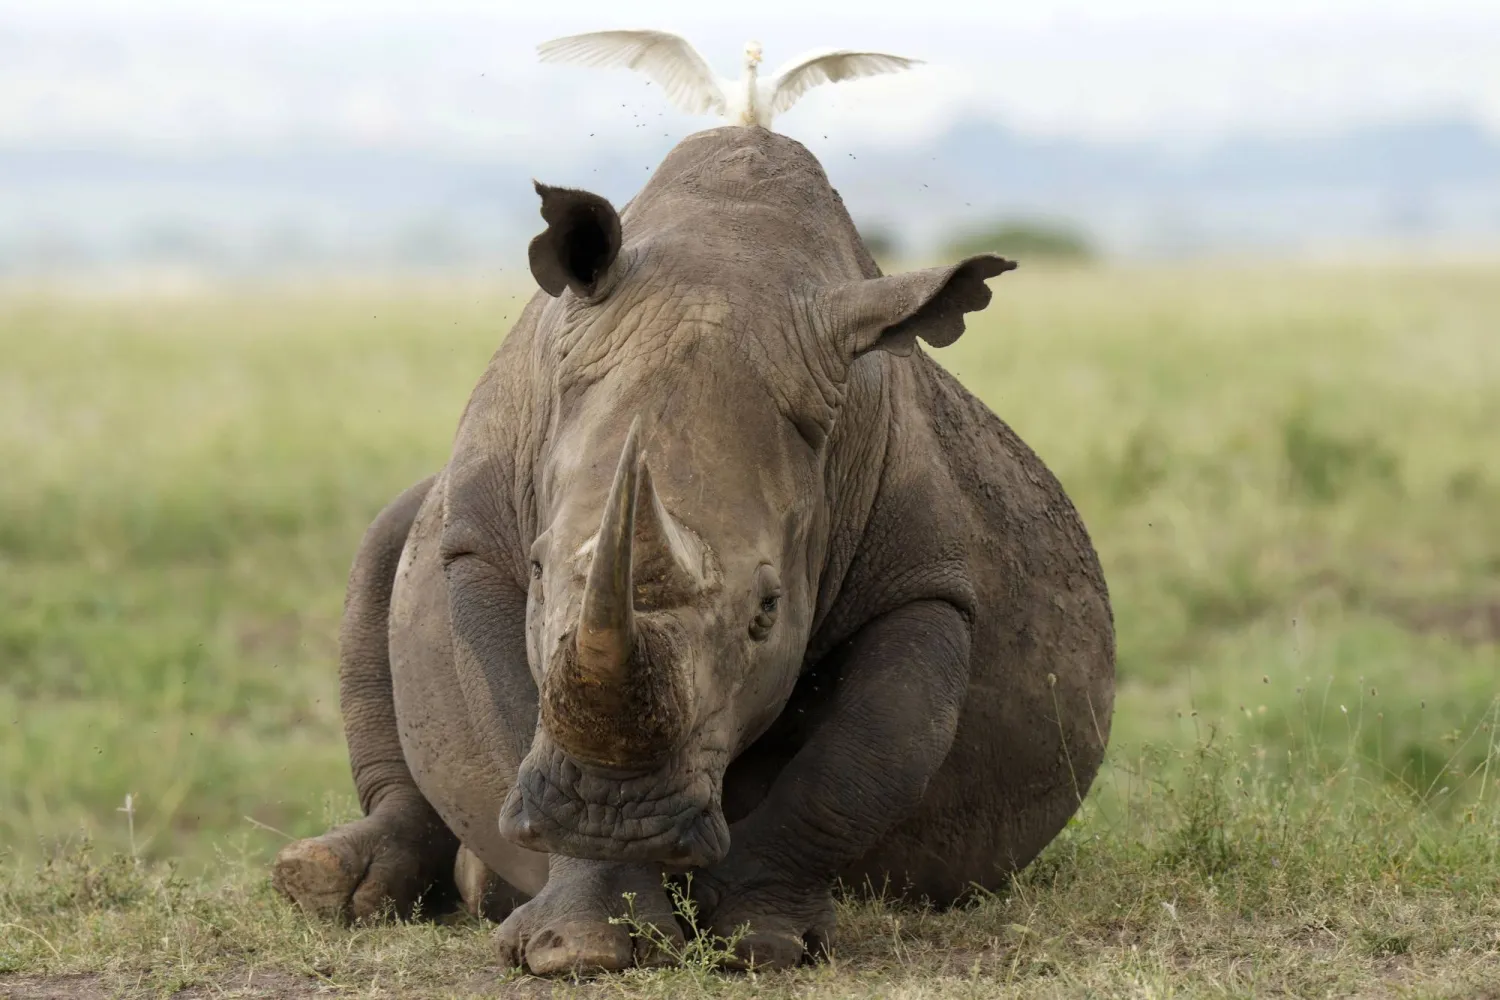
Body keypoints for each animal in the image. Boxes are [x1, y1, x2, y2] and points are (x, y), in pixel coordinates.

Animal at [271, 125, 1115, 974]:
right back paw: (328, 884)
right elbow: (509, 714)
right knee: (380, 556)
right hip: (422, 516)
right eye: (538, 569)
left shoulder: (925, 582)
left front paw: (762, 942)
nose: (612, 815)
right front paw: (578, 948)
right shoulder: (474, 544)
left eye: (767, 612)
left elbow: (858, 763)